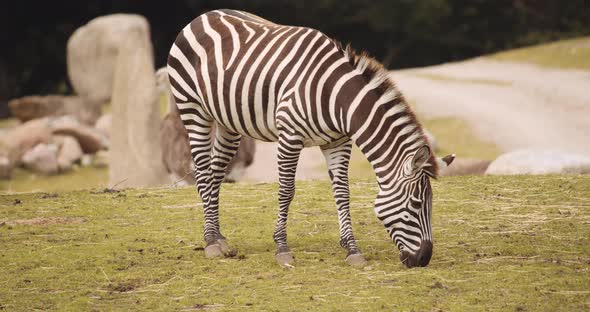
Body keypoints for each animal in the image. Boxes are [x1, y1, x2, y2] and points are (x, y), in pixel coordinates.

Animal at [166, 9, 458, 268]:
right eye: (417, 204)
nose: (424, 259)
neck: (337, 99)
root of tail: (203, 15)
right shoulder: (289, 137)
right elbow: (286, 191)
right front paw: (282, 248)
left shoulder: (338, 142)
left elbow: (342, 192)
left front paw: (352, 249)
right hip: (193, 109)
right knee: (203, 173)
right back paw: (210, 242)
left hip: (229, 122)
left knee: (216, 174)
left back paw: (219, 237)